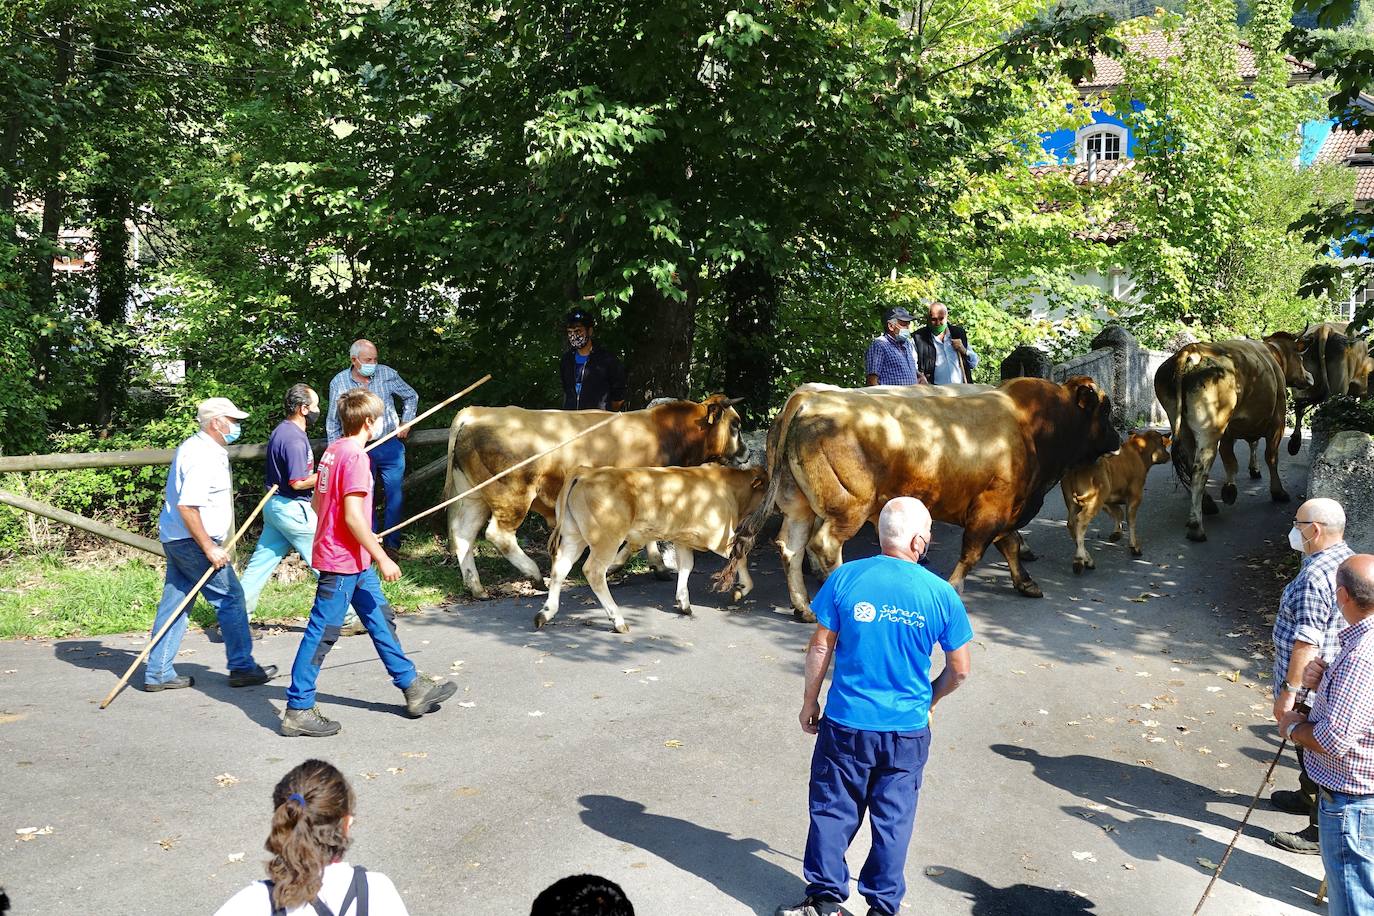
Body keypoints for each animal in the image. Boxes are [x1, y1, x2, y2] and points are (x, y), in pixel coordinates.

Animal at [442, 395, 747, 598]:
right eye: (736, 424)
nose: (745, 453)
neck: (665, 433)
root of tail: (475, 412)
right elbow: (637, 540)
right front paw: (614, 566)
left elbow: (647, 536)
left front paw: (658, 567)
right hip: (512, 493)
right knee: (497, 534)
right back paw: (534, 574)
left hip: (474, 496)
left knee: (463, 534)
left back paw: (476, 587)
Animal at [535, 466, 769, 631]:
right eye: (767, 488)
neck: (727, 487)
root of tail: (585, 471)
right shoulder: (719, 536)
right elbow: (741, 556)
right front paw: (742, 589)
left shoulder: (683, 539)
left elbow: (687, 567)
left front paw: (683, 603)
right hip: (606, 539)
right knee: (593, 571)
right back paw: (618, 620)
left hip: (573, 536)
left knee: (559, 568)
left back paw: (545, 613)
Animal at [714, 373, 1121, 623]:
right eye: (1105, 409)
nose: (1118, 440)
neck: (1032, 426)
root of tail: (807, 400)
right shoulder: (992, 505)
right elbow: (973, 552)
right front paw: (955, 589)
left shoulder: (1009, 505)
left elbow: (1008, 544)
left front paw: (1026, 582)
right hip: (848, 507)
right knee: (824, 546)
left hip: (798, 504)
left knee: (791, 548)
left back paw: (804, 609)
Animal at [1060, 431, 1170, 574]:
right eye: (1162, 443)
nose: (1169, 455)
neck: (1138, 454)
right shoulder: (1135, 495)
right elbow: (1131, 519)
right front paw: (1134, 547)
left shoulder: (1108, 499)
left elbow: (1118, 513)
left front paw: (1116, 534)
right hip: (1094, 500)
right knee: (1080, 521)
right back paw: (1079, 561)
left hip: (1073, 503)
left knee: (1071, 523)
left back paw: (1087, 559)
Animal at [1159, 333, 1308, 541]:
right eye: (1300, 357)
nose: (1308, 378)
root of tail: (1190, 351)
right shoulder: (1277, 421)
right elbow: (1270, 457)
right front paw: (1278, 492)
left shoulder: (1232, 428)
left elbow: (1234, 455)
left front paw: (1238, 482)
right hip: (1210, 427)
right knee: (1199, 470)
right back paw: (1196, 526)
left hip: (1182, 426)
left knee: (1189, 462)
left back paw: (1208, 504)